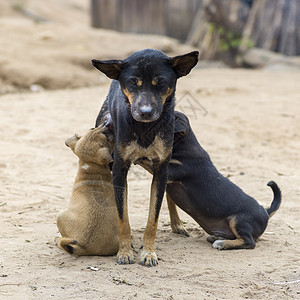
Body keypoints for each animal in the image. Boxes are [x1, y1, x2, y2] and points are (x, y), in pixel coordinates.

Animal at [91, 48, 199, 266]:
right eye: (133, 82)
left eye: (161, 83)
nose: (145, 112)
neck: (144, 128)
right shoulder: (119, 170)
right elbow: (122, 217)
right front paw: (124, 251)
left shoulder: (161, 168)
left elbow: (153, 218)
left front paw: (148, 252)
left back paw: (177, 223)